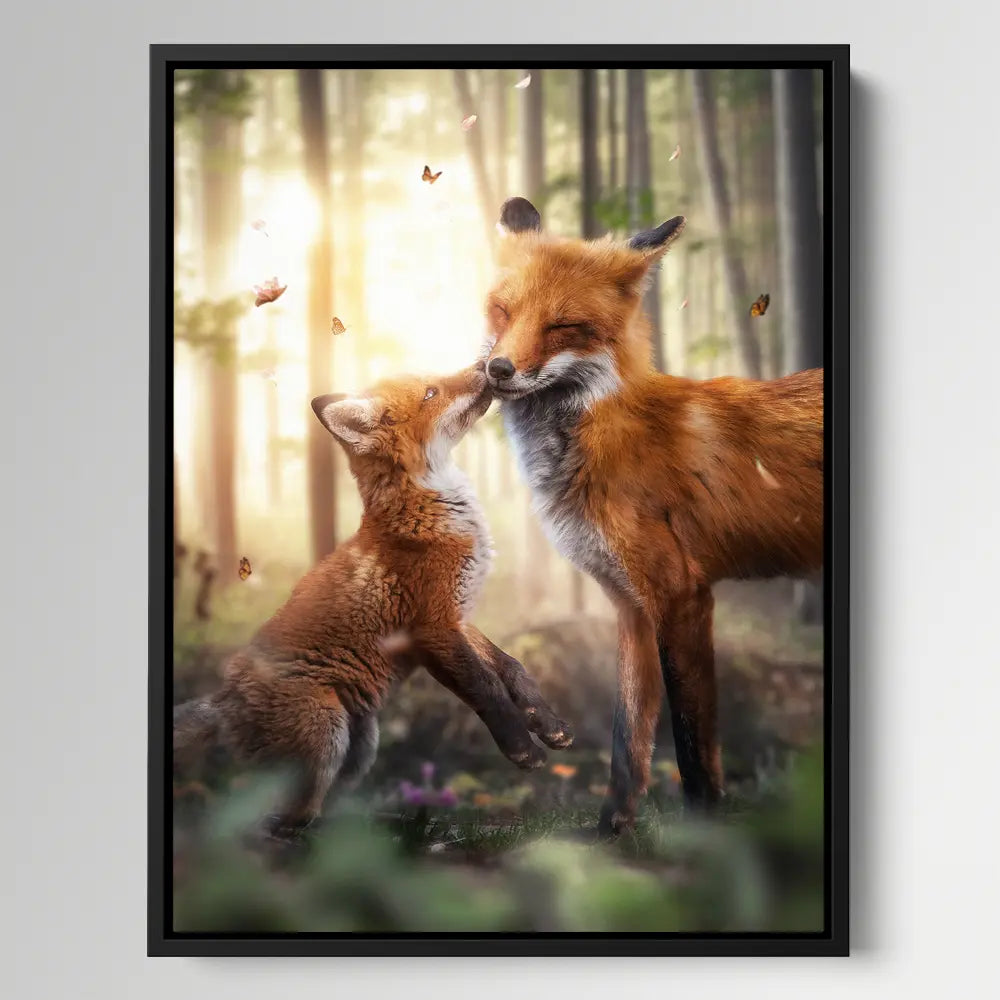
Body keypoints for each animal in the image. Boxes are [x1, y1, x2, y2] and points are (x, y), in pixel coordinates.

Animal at [173, 363, 572, 837]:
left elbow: (513, 668)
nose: (487, 365)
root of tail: (225, 697)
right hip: (327, 733)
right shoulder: (432, 630)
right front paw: (521, 749)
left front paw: (547, 723)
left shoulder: (458, 616)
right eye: (431, 392)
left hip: (361, 745)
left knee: (311, 809)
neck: (432, 513)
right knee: (276, 821)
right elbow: (486, 687)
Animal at [483, 197, 823, 836]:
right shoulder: (629, 605)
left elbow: (692, 746)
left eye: (562, 326)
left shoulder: (681, 595)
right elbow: (628, 736)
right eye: (502, 310)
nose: (498, 369)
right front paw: (610, 831)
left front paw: (706, 835)